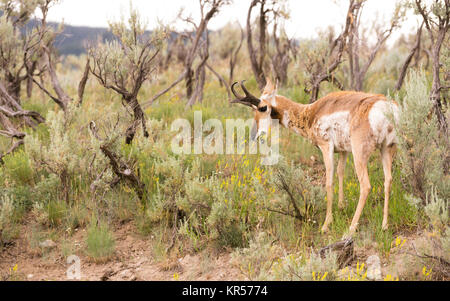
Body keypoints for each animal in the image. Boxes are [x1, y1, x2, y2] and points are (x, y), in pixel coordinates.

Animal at [230, 78, 400, 233]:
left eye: (262, 107)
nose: (254, 135)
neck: (311, 112)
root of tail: (384, 107)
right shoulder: (343, 151)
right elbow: (340, 173)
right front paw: (341, 207)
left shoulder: (326, 148)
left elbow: (329, 183)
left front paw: (326, 224)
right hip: (386, 149)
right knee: (388, 180)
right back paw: (384, 225)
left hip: (360, 154)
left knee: (365, 186)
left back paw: (351, 228)